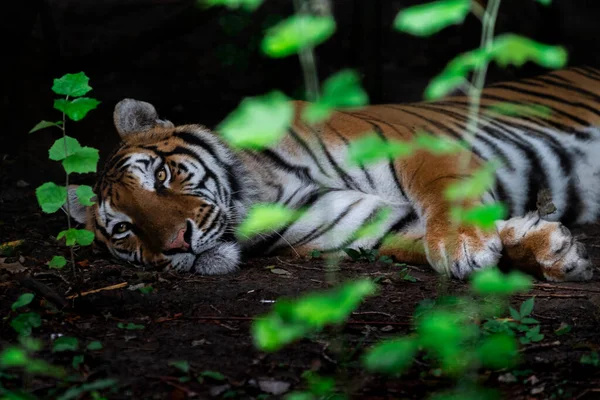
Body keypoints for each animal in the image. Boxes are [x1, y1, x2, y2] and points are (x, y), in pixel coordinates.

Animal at [68, 66, 600, 282]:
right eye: (124, 229)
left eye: (159, 176)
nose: (177, 243)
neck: (267, 193)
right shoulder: (371, 224)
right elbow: (415, 243)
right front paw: (550, 250)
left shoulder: (422, 149)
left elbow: (443, 195)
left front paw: (462, 245)